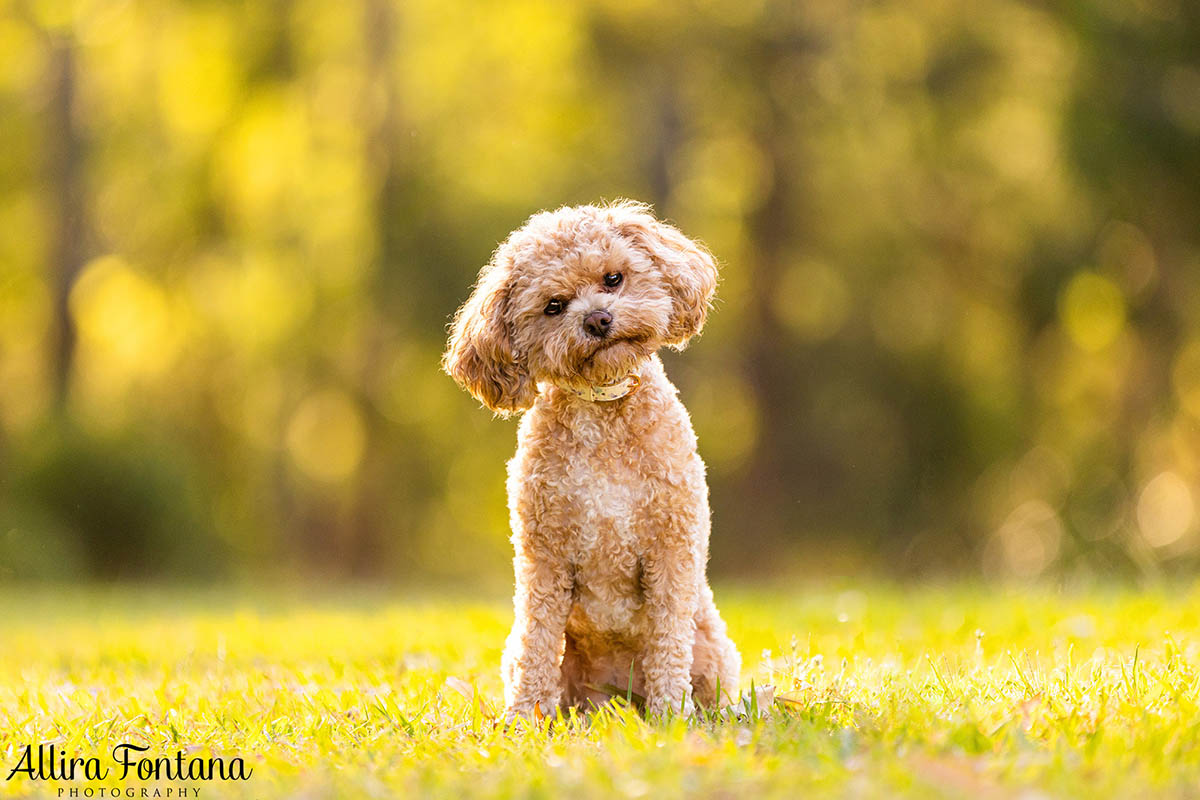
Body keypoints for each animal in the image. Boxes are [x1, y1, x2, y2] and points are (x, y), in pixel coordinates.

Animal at [444, 200, 739, 719]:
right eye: (553, 305)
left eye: (613, 278)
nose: (598, 319)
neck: (602, 411)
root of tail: (616, 694)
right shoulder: (544, 560)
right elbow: (539, 642)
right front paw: (524, 718)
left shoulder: (671, 549)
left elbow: (668, 641)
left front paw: (670, 715)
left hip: (713, 649)